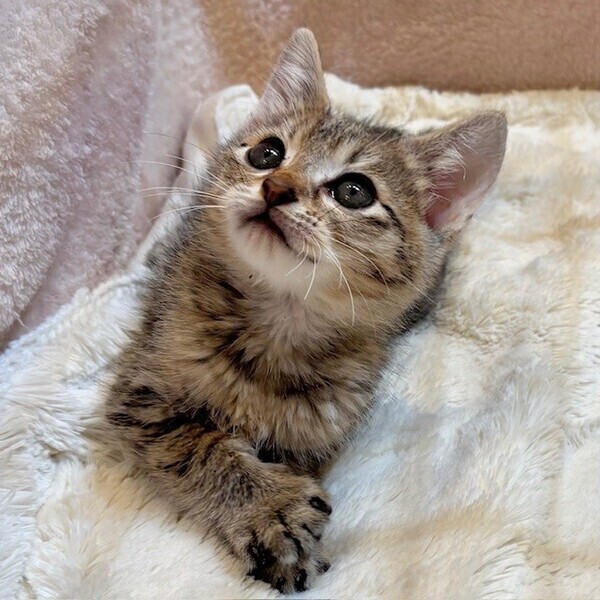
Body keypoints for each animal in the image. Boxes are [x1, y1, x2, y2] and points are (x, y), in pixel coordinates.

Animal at [105, 29, 507, 593]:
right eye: (267, 153)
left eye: (354, 191)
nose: (275, 187)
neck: (277, 321)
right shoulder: (141, 396)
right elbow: (198, 446)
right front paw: (268, 510)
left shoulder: (322, 430)